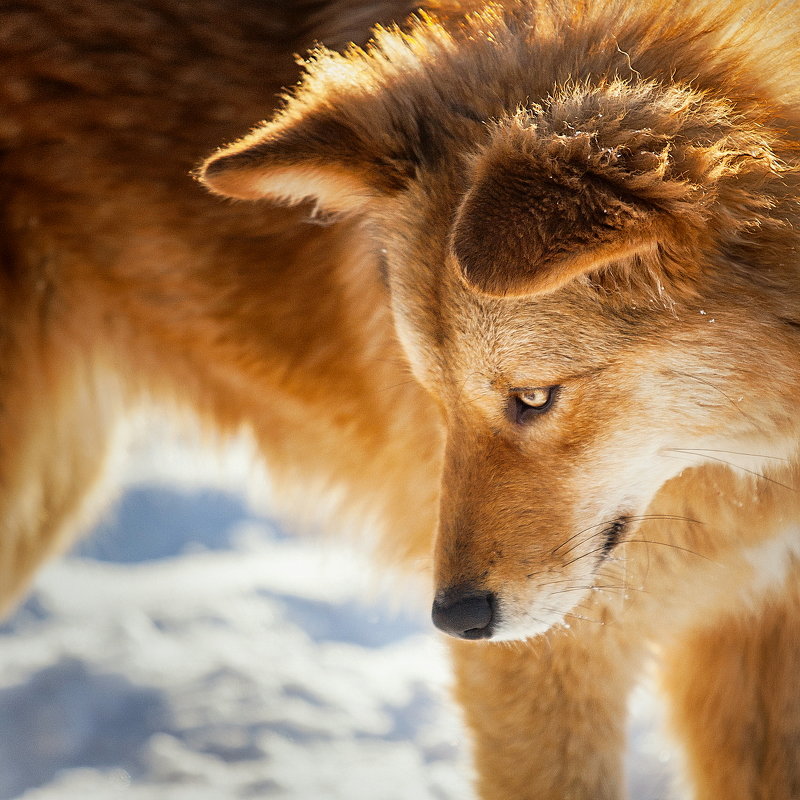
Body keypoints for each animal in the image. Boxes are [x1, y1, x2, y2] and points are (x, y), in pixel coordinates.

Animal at [4, 0, 800, 796]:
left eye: (533, 397)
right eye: (436, 398)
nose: (457, 620)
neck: (760, 459)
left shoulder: (759, 626)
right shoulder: (547, 660)